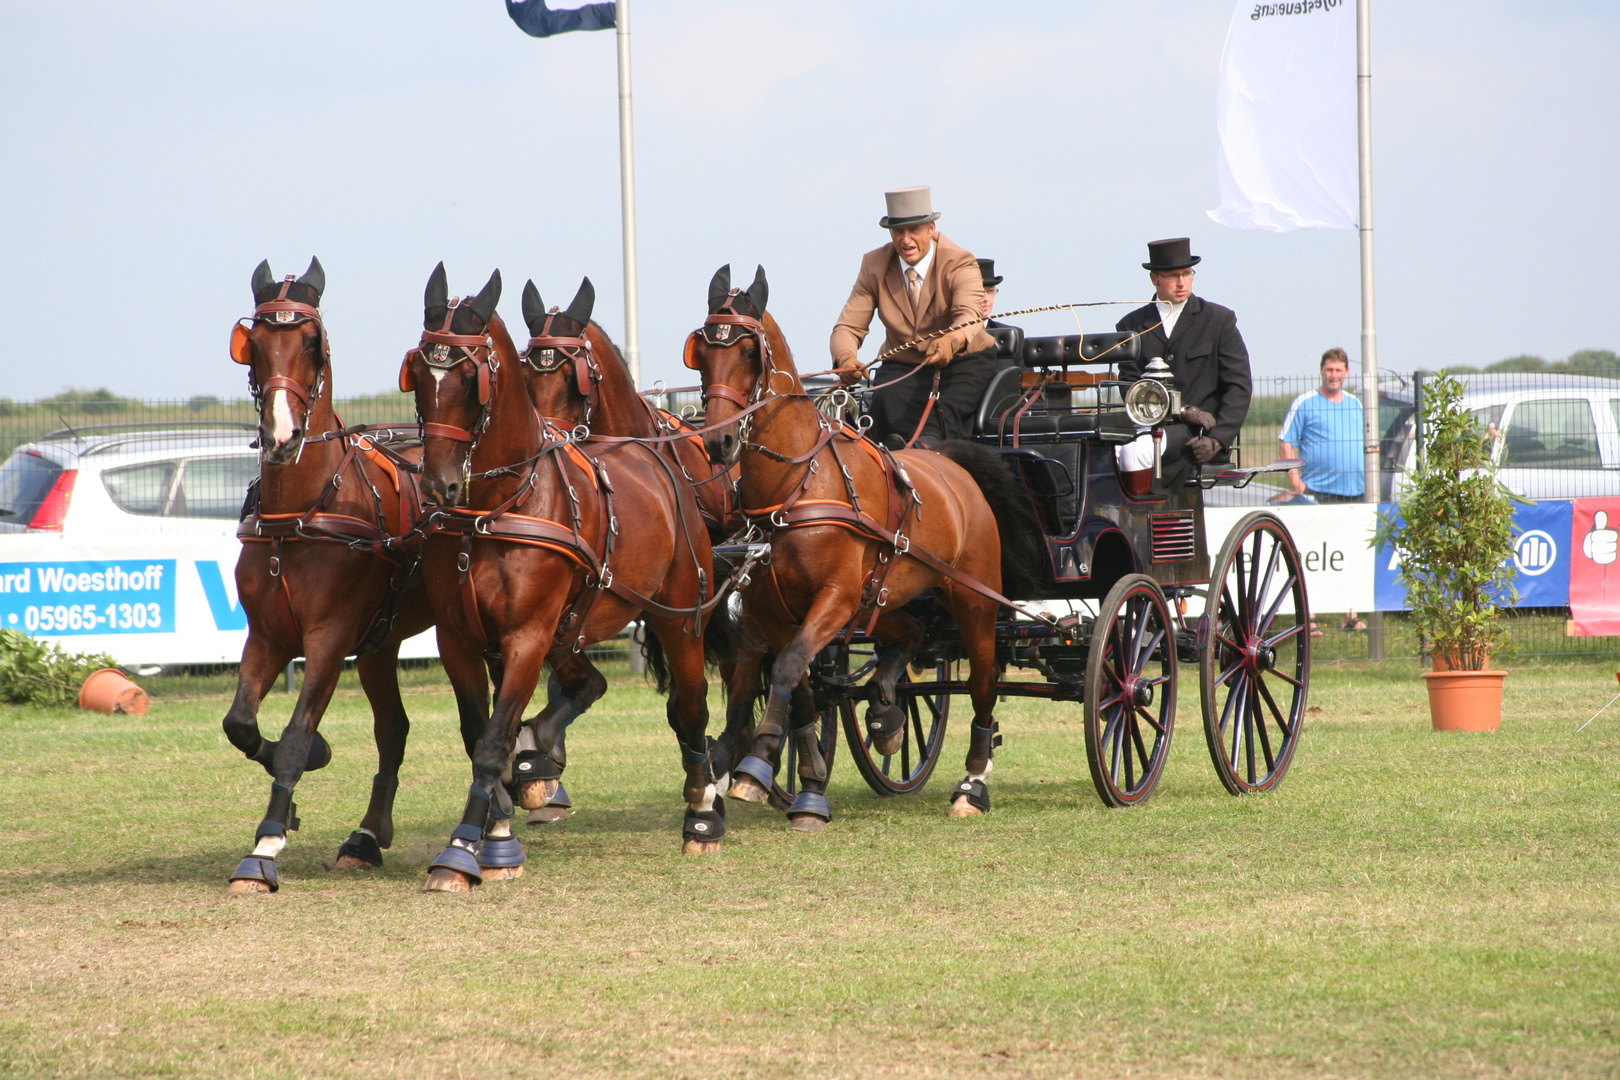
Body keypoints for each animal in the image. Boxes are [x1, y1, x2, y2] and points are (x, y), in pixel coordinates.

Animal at [225, 255, 437, 893]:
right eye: (253, 345)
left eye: (312, 344)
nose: (281, 435)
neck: (299, 515)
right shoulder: (268, 636)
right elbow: (240, 724)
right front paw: (297, 774)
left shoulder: (327, 638)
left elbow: (295, 734)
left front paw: (267, 842)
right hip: (379, 643)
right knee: (393, 729)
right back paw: (366, 838)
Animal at [683, 265, 1036, 822]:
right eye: (701, 352)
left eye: (748, 352)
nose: (718, 441)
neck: (797, 486)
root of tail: (954, 464)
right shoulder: (774, 610)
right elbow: (797, 684)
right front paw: (796, 778)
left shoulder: (835, 597)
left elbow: (788, 668)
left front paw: (758, 763)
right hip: (881, 599)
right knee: (911, 633)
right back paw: (886, 708)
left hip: (973, 600)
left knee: (984, 684)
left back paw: (973, 784)